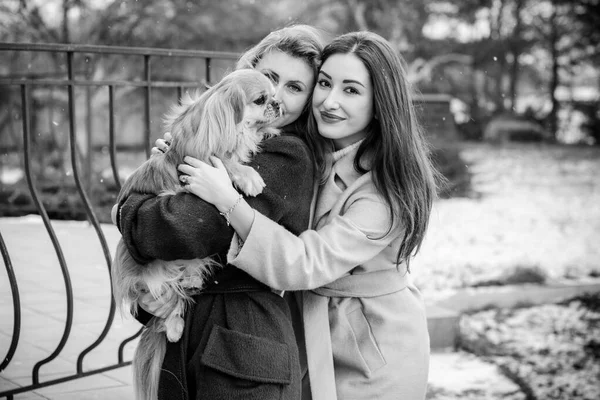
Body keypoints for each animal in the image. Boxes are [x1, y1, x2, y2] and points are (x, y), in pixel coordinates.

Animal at [110, 69, 282, 400]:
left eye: (276, 95)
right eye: (261, 100)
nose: (279, 105)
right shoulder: (200, 160)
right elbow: (227, 161)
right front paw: (248, 175)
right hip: (149, 274)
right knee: (166, 294)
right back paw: (175, 322)